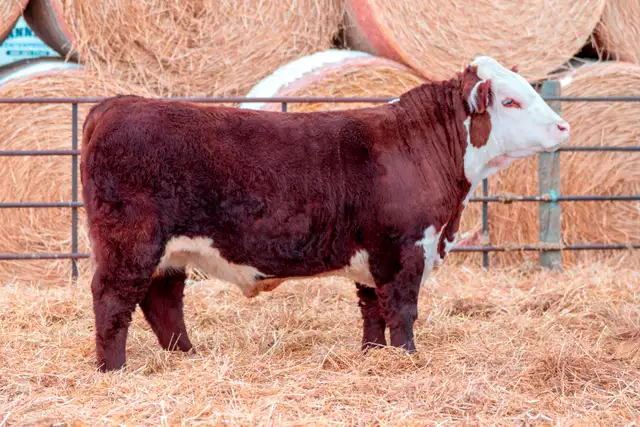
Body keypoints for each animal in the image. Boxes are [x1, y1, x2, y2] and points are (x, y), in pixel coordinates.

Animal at [80, 56, 570, 372]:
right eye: (510, 102)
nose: (563, 127)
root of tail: (118, 103)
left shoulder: (374, 254)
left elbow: (373, 310)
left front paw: (374, 357)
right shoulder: (405, 248)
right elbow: (402, 310)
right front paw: (407, 359)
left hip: (168, 252)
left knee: (162, 301)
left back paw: (186, 357)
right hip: (131, 241)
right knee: (113, 299)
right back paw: (113, 369)